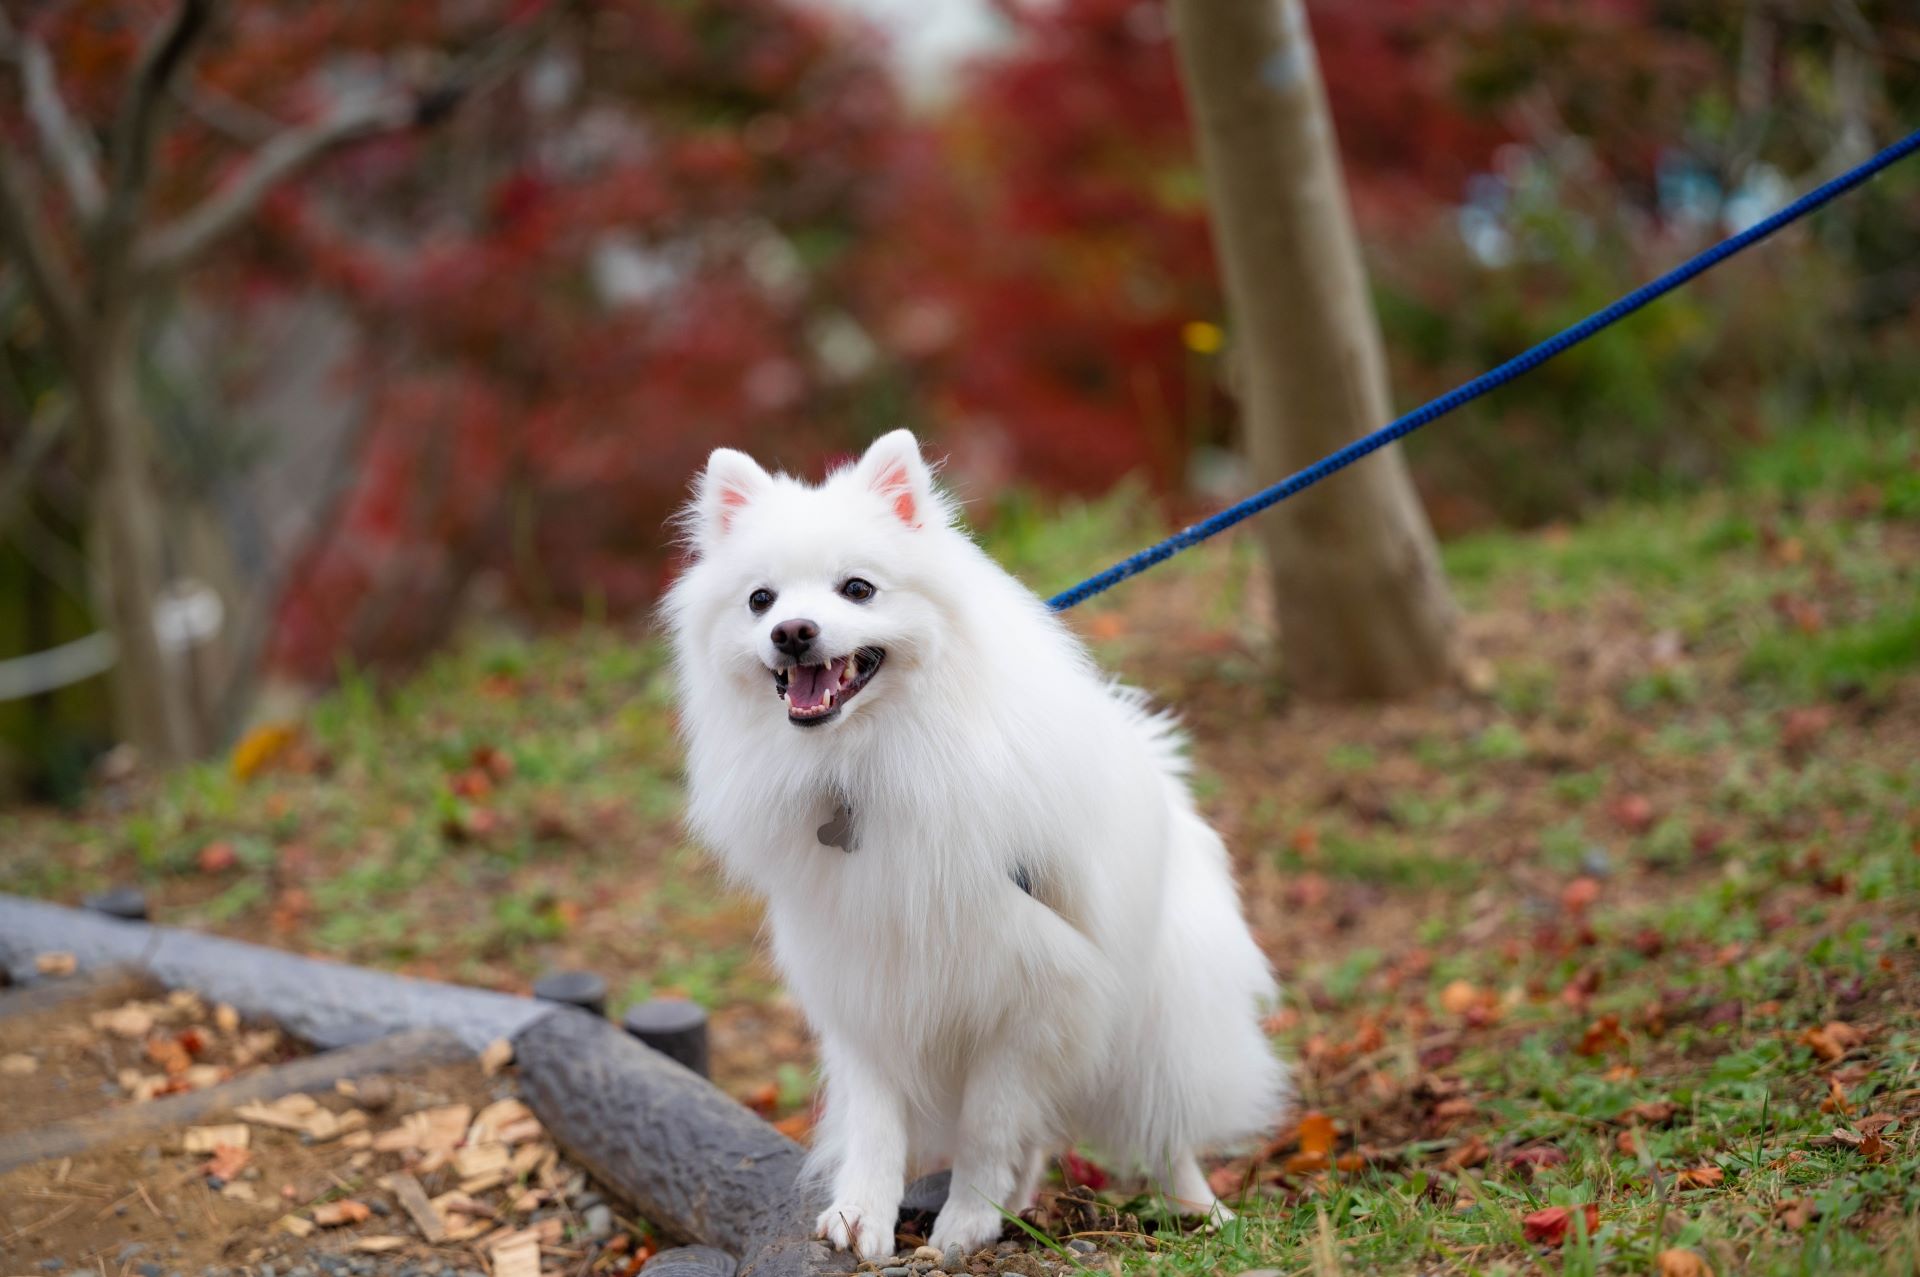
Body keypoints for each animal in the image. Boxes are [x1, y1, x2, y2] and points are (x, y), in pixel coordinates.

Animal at [664, 430, 1290, 1252]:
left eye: (857, 589)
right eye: (759, 600)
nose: (792, 633)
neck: (866, 766)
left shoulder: (1033, 995)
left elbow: (989, 1127)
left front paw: (963, 1223)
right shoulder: (866, 986)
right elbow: (879, 1124)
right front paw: (863, 1216)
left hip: (1158, 1022)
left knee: (1166, 1129)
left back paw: (1198, 1208)